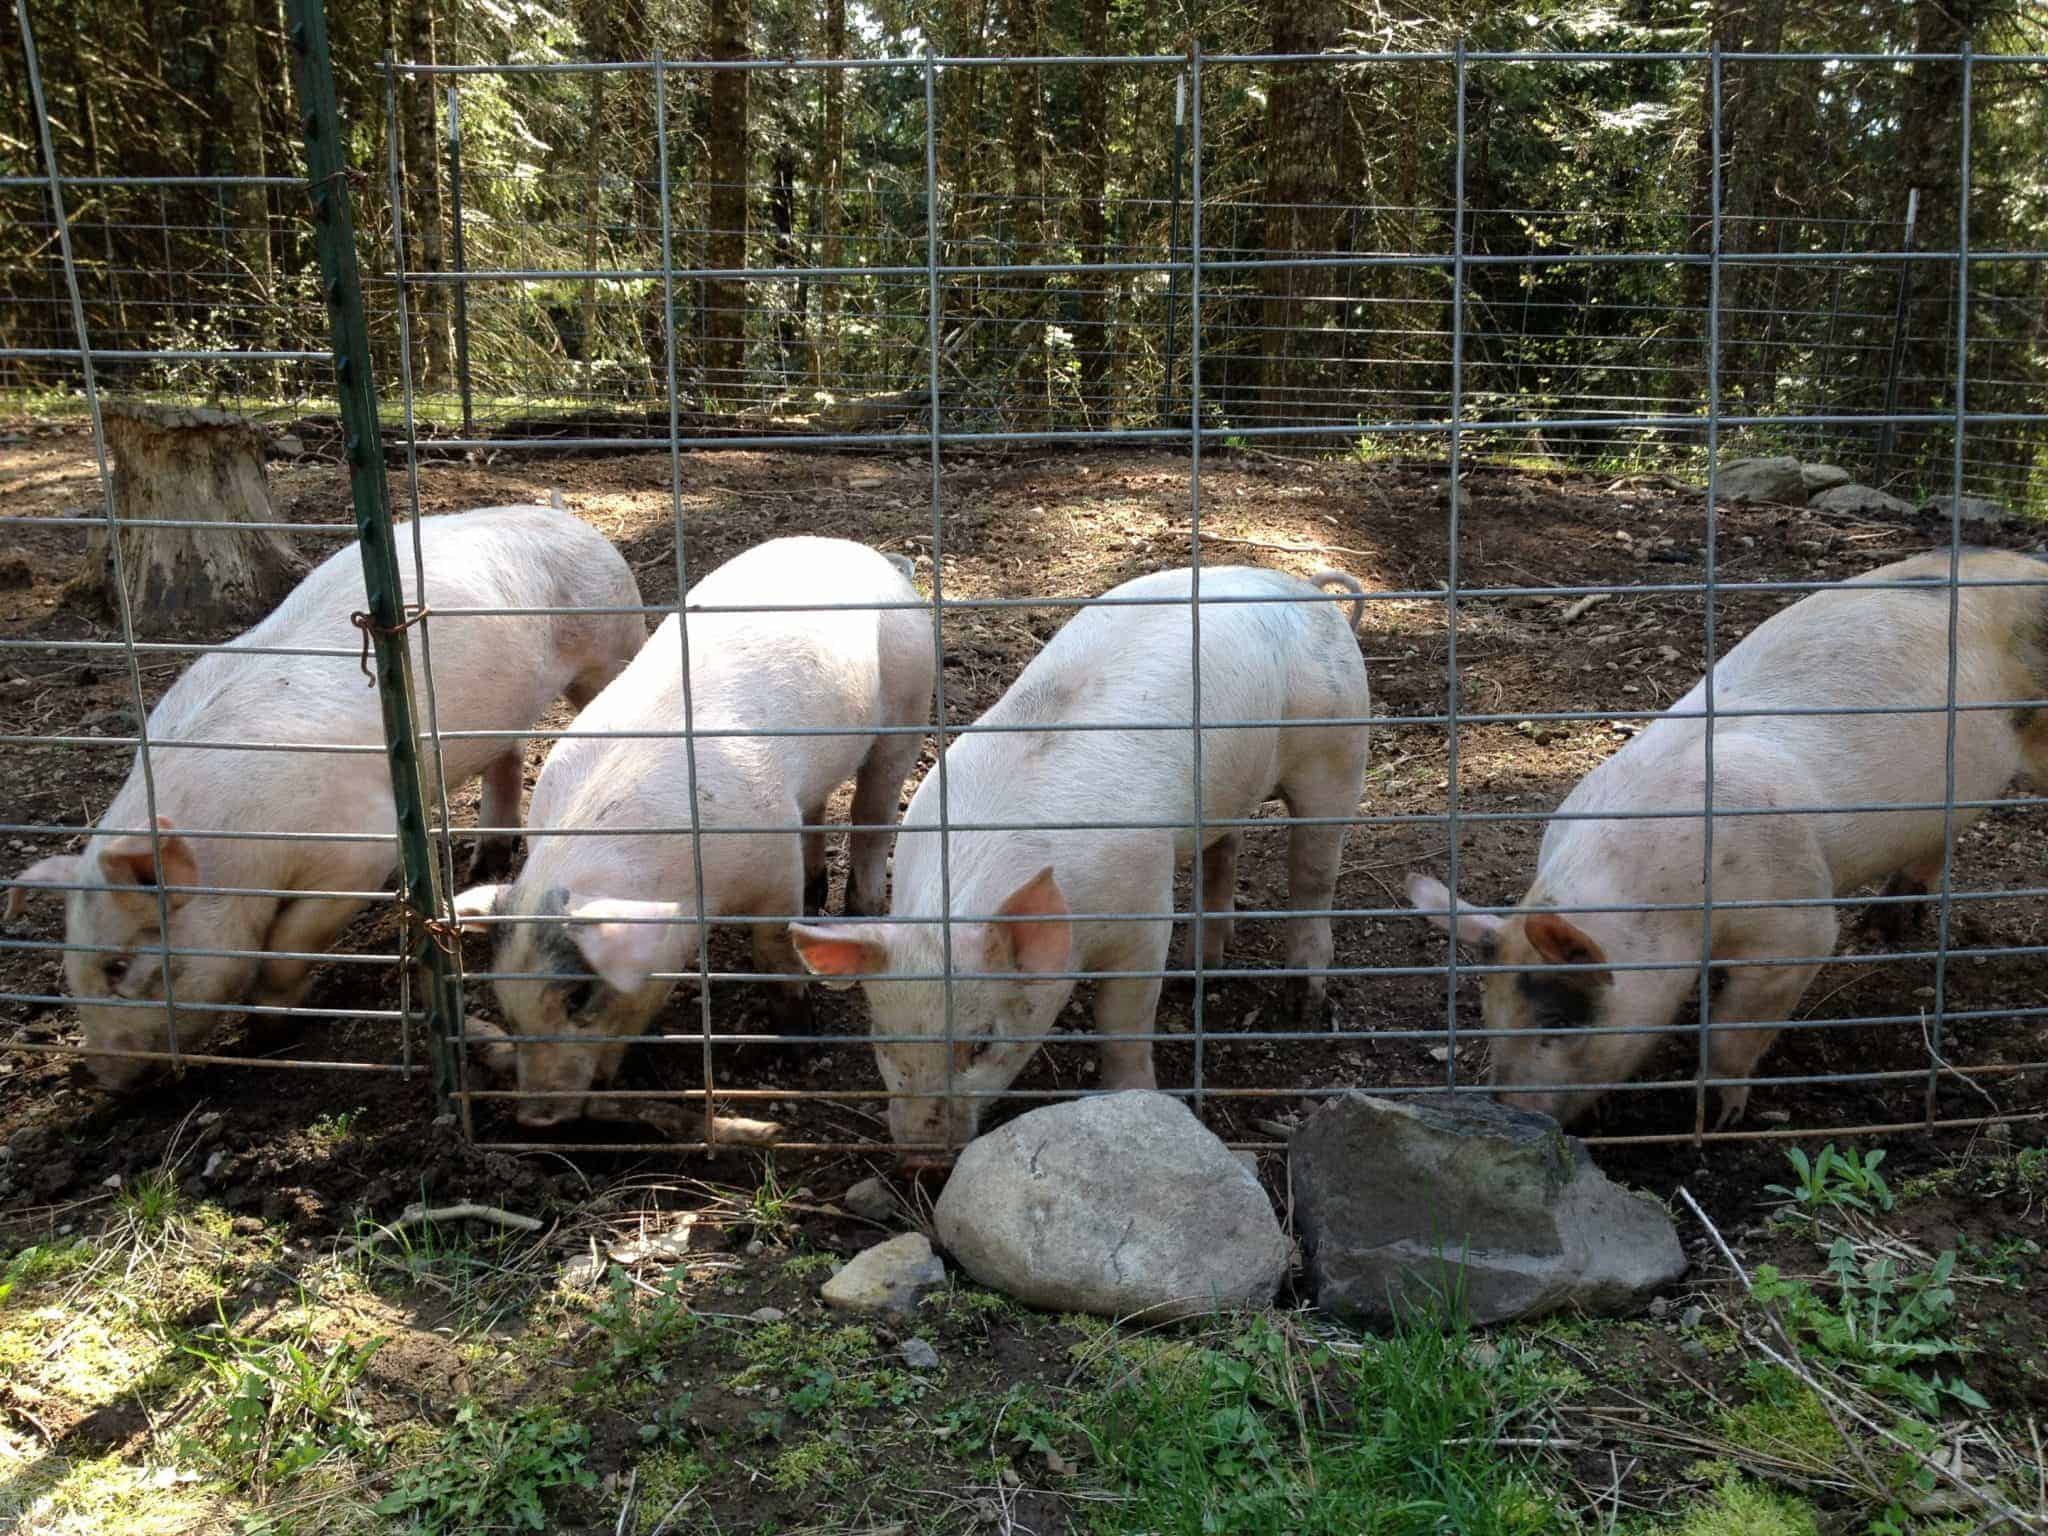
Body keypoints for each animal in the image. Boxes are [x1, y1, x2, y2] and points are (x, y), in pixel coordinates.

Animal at [4, 507, 643, 1097]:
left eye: (118, 965)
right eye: (68, 970)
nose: (101, 1075)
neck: (234, 855)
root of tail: (566, 516)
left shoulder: (358, 847)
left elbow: (290, 940)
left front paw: (269, 1028)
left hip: (612, 637)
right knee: (506, 756)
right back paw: (483, 860)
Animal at [452, 536, 933, 1130]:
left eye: (579, 998)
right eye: (503, 1003)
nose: (535, 1117)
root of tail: (867, 555)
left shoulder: (769, 859)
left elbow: (774, 951)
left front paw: (799, 1048)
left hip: (908, 701)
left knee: (873, 816)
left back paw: (855, 913)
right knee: (817, 812)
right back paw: (817, 895)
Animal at [790, 573, 1368, 1163]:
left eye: (983, 1042)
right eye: (882, 1037)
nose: (921, 1157)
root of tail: (1303, 588)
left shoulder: (1144, 911)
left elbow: (1121, 1021)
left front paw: (1133, 1095)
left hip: (1338, 745)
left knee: (1314, 873)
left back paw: (1301, 1003)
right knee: (1223, 849)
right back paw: (1194, 973)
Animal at [1409, 552, 2048, 1130]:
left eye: (1561, 1023)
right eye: (1489, 1014)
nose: (1511, 1111)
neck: (1666, 900)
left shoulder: (1794, 922)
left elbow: (1744, 1020)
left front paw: (1715, 1117)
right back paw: (1886, 929)